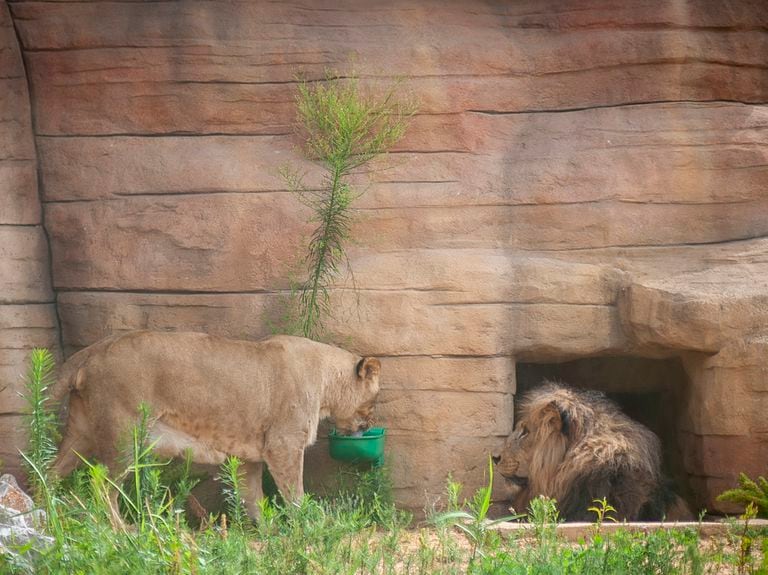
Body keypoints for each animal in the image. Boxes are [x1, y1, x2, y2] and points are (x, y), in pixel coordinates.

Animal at [51, 330, 380, 516]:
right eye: (375, 399)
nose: (367, 425)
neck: (325, 380)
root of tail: (91, 350)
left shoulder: (249, 458)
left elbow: (253, 499)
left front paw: (267, 533)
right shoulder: (283, 445)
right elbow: (294, 493)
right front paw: (309, 526)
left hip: (81, 433)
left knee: (50, 473)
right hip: (123, 436)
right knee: (101, 486)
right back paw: (121, 533)